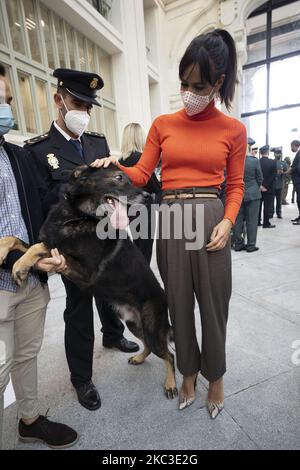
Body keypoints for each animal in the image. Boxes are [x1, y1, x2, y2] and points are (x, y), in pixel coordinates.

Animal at [0, 165, 177, 400]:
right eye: (119, 177)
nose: (148, 196)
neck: (78, 216)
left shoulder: (84, 272)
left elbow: (41, 247)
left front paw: (20, 266)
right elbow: (17, 240)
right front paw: (4, 250)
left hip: (151, 328)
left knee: (169, 355)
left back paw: (171, 384)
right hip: (133, 324)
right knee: (149, 346)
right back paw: (139, 358)